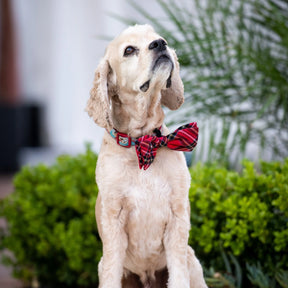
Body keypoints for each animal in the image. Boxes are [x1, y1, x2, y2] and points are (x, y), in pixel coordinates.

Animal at [85, 24, 207, 288]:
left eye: (159, 38)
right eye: (129, 50)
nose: (160, 44)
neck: (143, 143)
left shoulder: (178, 218)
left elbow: (178, 276)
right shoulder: (113, 219)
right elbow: (111, 272)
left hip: (192, 260)